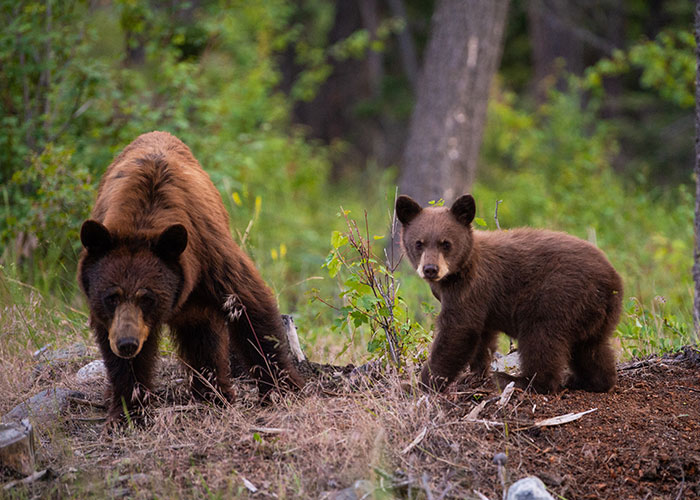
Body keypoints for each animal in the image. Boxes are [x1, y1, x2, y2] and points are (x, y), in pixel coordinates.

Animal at [78, 131, 305, 423]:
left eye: (147, 297)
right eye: (111, 297)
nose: (127, 343)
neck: (142, 221)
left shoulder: (209, 255)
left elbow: (250, 308)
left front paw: (282, 389)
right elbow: (121, 362)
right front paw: (129, 411)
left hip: (198, 302)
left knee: (203, 338)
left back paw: (214, 393)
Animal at [395, 193, 622, 394]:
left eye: (446, 243)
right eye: (419, 243)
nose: (430, 269)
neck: (459, 270)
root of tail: (612, 281)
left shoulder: (471, 288)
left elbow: (458, 331)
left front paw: (421, 384)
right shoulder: (481, 302)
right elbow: (482, 336)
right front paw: (476, 373)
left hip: (558, 297)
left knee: (541, 339)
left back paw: (519, 380)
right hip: (594, 315)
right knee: (591, 349)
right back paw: (590, 381)